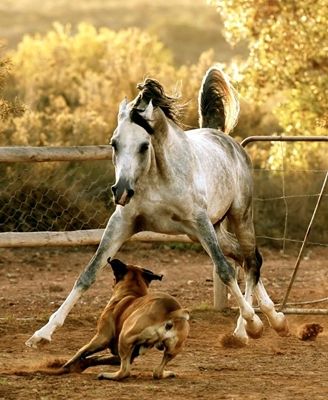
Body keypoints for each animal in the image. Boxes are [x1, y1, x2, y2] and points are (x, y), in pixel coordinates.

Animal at [26, 67, 288, 348]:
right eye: (114, 143)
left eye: (144, 145)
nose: (121, 191)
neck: (157, 175)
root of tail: (224, 138)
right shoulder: (122, 223)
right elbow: (88, 273)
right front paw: (42, 334)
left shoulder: (199, 221)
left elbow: (224, 271)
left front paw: (254, 323)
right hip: (210, 231)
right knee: (246, 258)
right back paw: (273, 320)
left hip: (237, 217)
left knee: (250, 261)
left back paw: (248, 328)